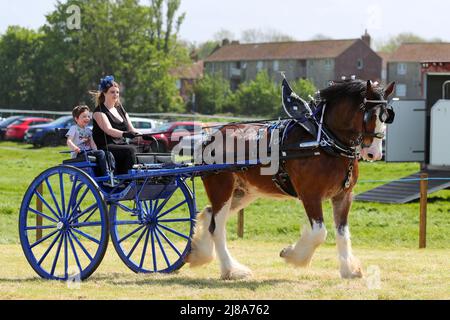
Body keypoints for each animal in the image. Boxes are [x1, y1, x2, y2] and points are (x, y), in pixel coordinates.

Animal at [185, 79, 396, 278]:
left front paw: (348, 270)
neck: (324, 141)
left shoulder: (343, 196)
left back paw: (199, 254)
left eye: (387, 115)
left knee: (209, 215)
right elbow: (319, 232)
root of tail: (210, 137)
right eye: (369, 114)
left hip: (242, 193)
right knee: (216, 228)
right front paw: (293, 255)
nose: (374, 153)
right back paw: (231, 270)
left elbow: (342, 233)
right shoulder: (310, 194)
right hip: (222, 188)